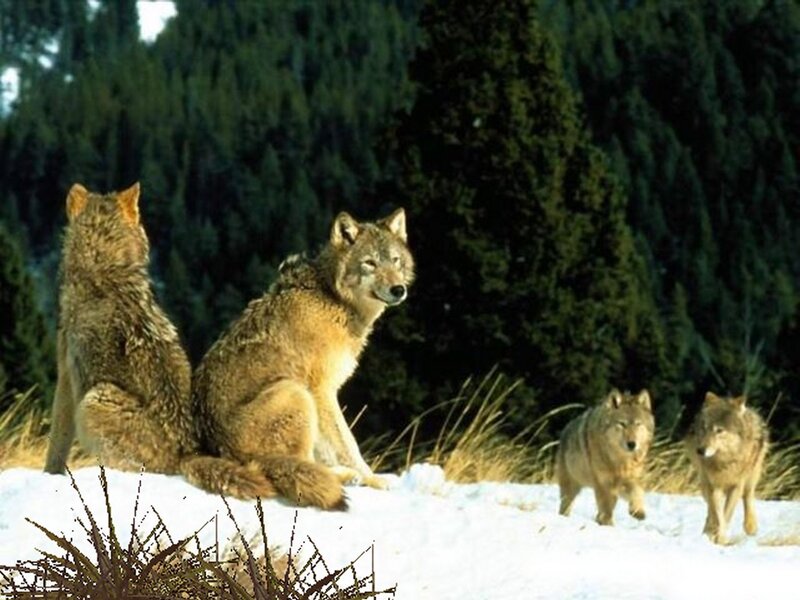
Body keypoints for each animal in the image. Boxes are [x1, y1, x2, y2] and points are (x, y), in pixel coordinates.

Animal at [190, 209, 414, 510]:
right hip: (295, 392)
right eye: (370, 263)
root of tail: (214, 451)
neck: (333, 299)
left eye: (395, 260)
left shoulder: (324, 394)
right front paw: (373, 479)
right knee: (298, 464)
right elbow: (348, 444)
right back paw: (346, 477)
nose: (398, 289)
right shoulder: (321, 391)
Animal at [556, 389, 655, 525]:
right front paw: (608, 525)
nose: (632, 444)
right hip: (571, 487)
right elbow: (606, 509)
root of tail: (566, 428)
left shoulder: (629, 479)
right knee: (565, 505)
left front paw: (638, 511)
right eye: (622, 424)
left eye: (638, 424)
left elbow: (637, 492)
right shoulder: (603, 483)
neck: (619, 461)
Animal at [685, 392, 768, 544]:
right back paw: (708, 530)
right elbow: (718, 515)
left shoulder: (736, 486)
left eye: (719, 430)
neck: (724, 462)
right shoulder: (713, 486)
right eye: (704, 428)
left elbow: (726, 514)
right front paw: (718, 536)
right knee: (709, 509)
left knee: (748, 495)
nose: (700, 450)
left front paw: (721, 539)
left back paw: (750, 526)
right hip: (703, 482)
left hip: (752, 475)